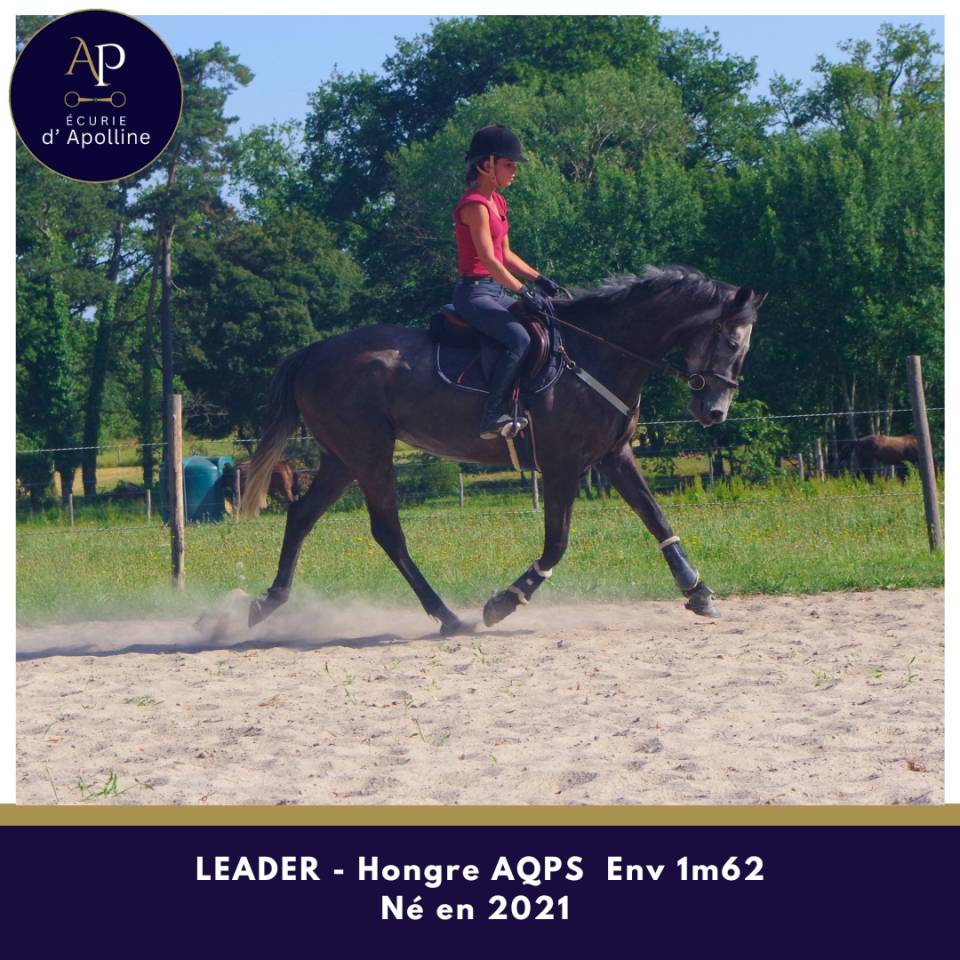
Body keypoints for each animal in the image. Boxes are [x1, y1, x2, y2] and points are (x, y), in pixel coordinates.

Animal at [239, 265, 765, 635]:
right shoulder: (561, 465)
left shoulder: (614, 456)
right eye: (730, 341)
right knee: (387, 531)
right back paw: (449, 616)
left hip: (343, 458)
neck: (597, 352)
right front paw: (504, 602)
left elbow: (657, 518)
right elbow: (557, 543)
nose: (715, 412)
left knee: (302, 515)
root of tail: (314, 352)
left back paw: (270, 602)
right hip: (369, 454)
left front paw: (698, 591)